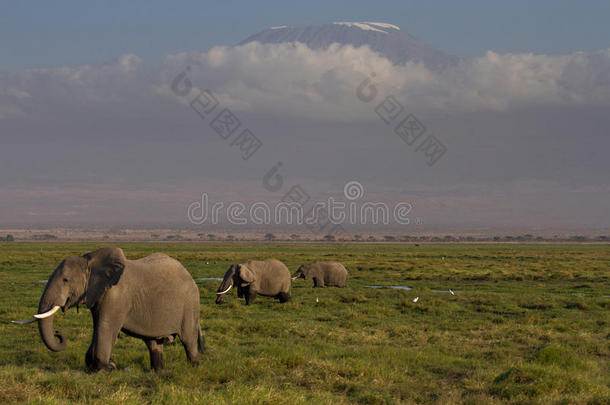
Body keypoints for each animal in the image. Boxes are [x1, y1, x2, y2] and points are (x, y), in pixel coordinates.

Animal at [13, 245, 203, 370]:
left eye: (65, 280)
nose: (59, 334)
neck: (89, 260)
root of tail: (189, 276)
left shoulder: (116, 296)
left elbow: (105, 327)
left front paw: (105, 367)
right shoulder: (97, 294)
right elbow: (97, 326)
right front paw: (97, 365)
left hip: (190, 305)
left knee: (188, 339)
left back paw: (193, 367)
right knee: (153, 342)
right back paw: (158, 371)